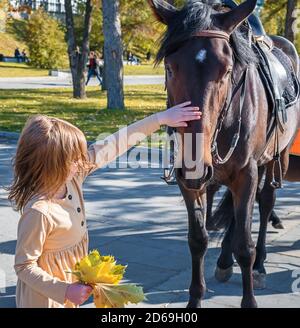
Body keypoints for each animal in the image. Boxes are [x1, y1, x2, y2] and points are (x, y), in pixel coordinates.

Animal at [148, 0, 300, 308]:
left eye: (229, 70)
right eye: (170, 67)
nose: (196, 164)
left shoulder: (246, 172)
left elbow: (245, 244)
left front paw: (249, 296)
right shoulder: (187, 179)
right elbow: (198, 239)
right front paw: (195, 299)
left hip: (276, 157)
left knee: (265, 202)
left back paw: (260, 265)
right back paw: (224, 261)